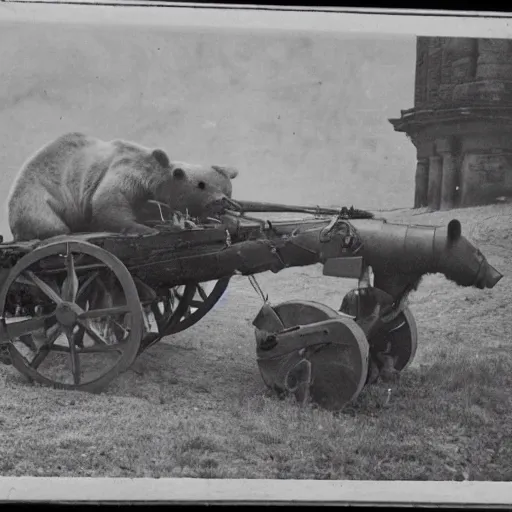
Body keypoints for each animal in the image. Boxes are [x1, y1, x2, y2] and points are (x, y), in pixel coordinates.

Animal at [7, 133, 240, 243]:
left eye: (227, 190)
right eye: (201, 185)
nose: (220, 202)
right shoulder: (126, 173)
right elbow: (108, 201)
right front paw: (143, 228)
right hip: (38, 195)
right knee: (47, 221)